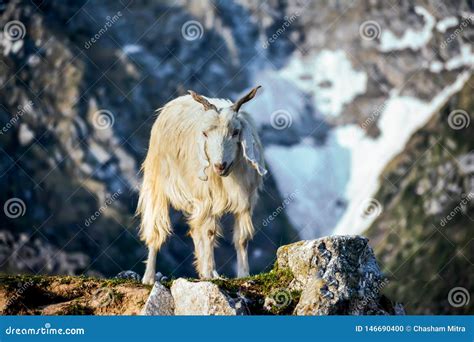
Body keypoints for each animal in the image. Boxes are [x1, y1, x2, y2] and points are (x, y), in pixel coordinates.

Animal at [138, 87, 266, 284]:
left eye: (235, 132)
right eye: (205, 134)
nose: (220, 165)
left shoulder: (245, 201)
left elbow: (241, 238)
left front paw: (243, 274)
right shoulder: (206, 198)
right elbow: (209, 233)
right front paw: (208, 272)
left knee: (196, 230)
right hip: (156, 184)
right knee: (156, 230)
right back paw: (150, 277)